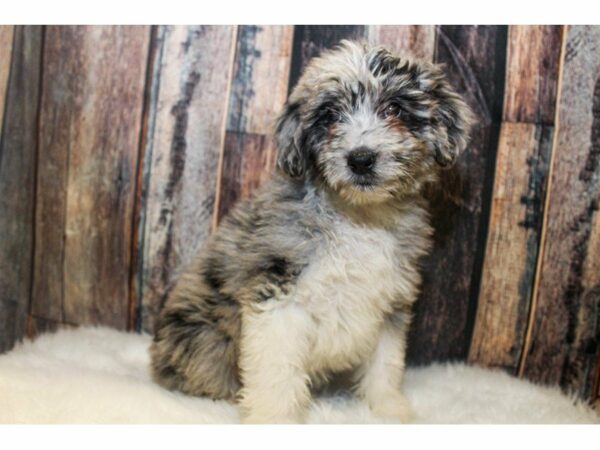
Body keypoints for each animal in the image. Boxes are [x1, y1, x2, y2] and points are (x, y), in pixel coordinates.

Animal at [149, 40, 468, 424]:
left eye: (394, 108)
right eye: (329, 117)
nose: (361, 159)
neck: (358, 215)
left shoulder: (389, 300)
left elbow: (386, 363)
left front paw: (389, 408)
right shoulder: (277, 293)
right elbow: (276, 370)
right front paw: (274, 419)